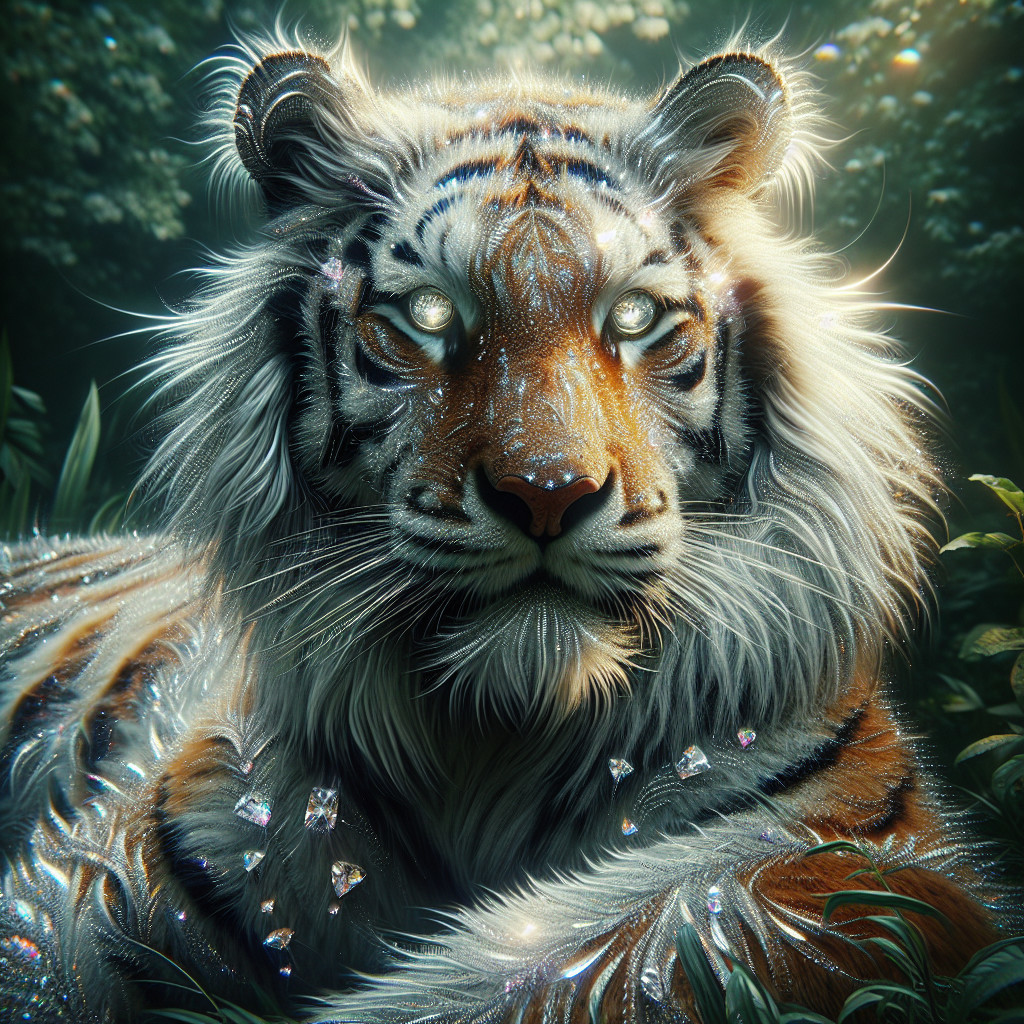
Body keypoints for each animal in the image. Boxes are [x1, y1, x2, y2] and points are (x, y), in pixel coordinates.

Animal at [0, 28, 1008, 1024]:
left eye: (634, 317)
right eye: (427, 315)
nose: (549, 495)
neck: (502, 745)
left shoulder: (881, 861)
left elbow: (640, 949)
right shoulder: (108, 883)